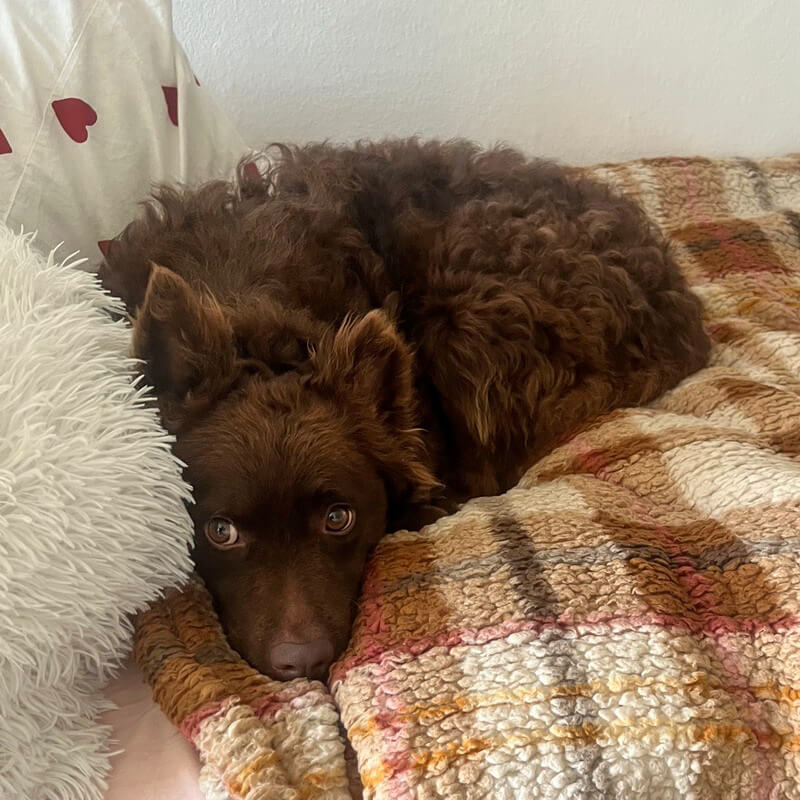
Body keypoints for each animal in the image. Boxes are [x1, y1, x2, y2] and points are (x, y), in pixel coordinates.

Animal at [99, 139, 710, 681]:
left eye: (338, 518)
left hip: (467, 305)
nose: (303, 664)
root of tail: (678, 305)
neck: (251, 319)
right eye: (220, 532)